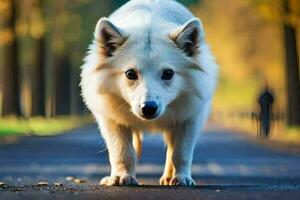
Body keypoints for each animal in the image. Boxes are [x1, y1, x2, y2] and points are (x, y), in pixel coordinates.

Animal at [81, 0, 218, 187]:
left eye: (168, 73)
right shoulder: (112, 120)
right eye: (130, 74)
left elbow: (181, 152)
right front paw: (121, 177)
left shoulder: (190, 118)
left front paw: (182, 178)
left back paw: (169, 177)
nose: (148, 108)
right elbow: (122, 151)